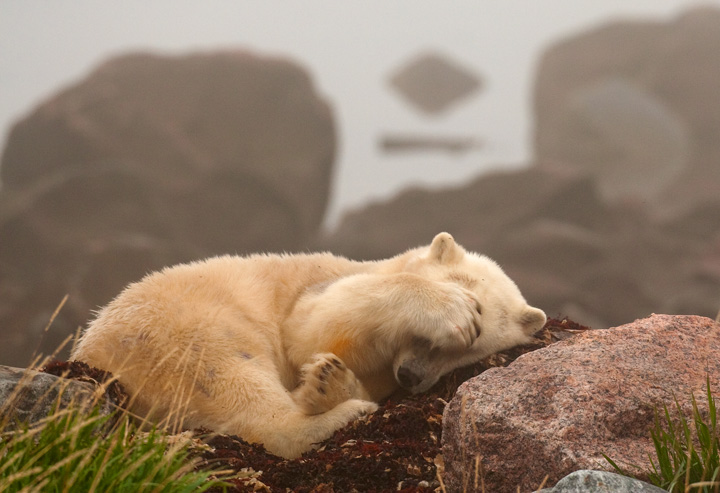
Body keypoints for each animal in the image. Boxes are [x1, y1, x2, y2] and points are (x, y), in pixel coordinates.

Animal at [72, 232, 545, 459]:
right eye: (439, 339)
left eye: (466, 354)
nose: (411, 376)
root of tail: (90, 352)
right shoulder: (313, 286)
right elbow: (314, 326)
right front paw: (448, 306)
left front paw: (331, 380)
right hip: (179, 330)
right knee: (232, 377)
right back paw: (338, 413)